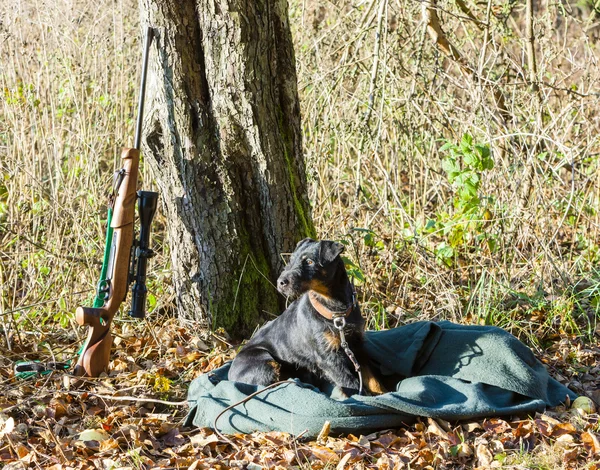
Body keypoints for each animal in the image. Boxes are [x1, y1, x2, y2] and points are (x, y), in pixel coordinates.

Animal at [227, 239, 386, 396]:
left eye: (309, 261)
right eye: (291, 260)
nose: (280, 282)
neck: (335, 311)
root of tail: (230, 375)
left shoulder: (358, 346)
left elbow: (373, 379)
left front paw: (381, 392)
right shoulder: (328, 357)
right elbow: (351, 384)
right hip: (265, 365)